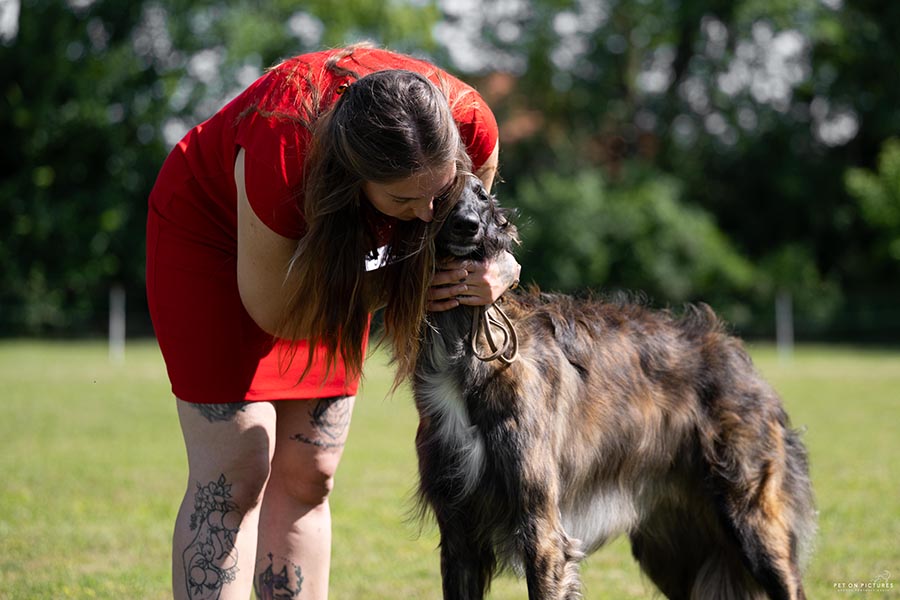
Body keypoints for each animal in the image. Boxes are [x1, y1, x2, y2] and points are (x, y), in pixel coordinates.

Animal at [409, 176, 816, 599]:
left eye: (482, 194)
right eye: (442, 193)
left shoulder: (541, 527)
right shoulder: (458, 533)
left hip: (751, 518)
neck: (470, 350)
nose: (468, 226)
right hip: (674, 549)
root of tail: (743, 362)